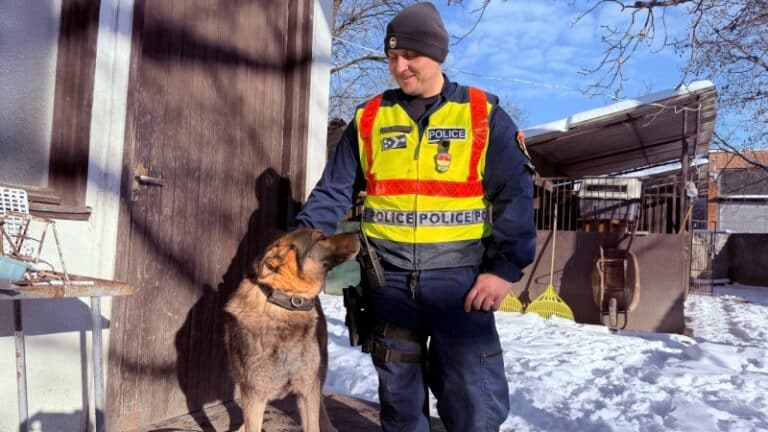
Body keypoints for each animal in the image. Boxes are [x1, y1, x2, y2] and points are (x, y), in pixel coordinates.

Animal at [224, 228, 359, 432]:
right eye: (321, 238)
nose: (359, 233)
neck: (287, 302)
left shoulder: (307, 389)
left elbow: (313, 424)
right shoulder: (253, 395)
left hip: (318, 373)